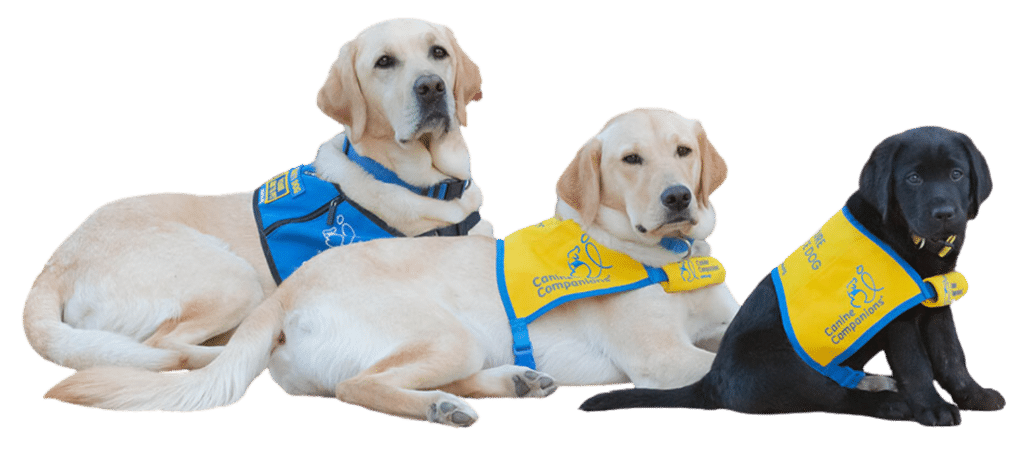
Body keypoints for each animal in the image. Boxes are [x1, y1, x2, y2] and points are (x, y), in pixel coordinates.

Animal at [20, 16, 491, 373]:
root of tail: (54, 264)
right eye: (384, 62)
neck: (431, 186)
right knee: (164, 346)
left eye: (438, 53)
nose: (431, 87)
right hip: (231, 278)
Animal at [44, 108, 741, 428]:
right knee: (361, 385)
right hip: (440, 331)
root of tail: (287, 294)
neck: (672, 263)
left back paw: (509, 383)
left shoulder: (716, 327)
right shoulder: (662, 359)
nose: (678, 198)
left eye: (683, 151)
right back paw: (442, 408)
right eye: (630, 160)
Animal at [581, 125, 1003, 426]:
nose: (945, 213)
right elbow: (917, 365)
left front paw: (975, 396)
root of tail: (711, 382)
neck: (910, 241)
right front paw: (932, 408)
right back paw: (891, 403)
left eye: (956, 174)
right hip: (784, 365)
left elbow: (951, 358)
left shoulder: (936, 306)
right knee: (833, 396)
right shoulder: (897, 318)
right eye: (913, 179)